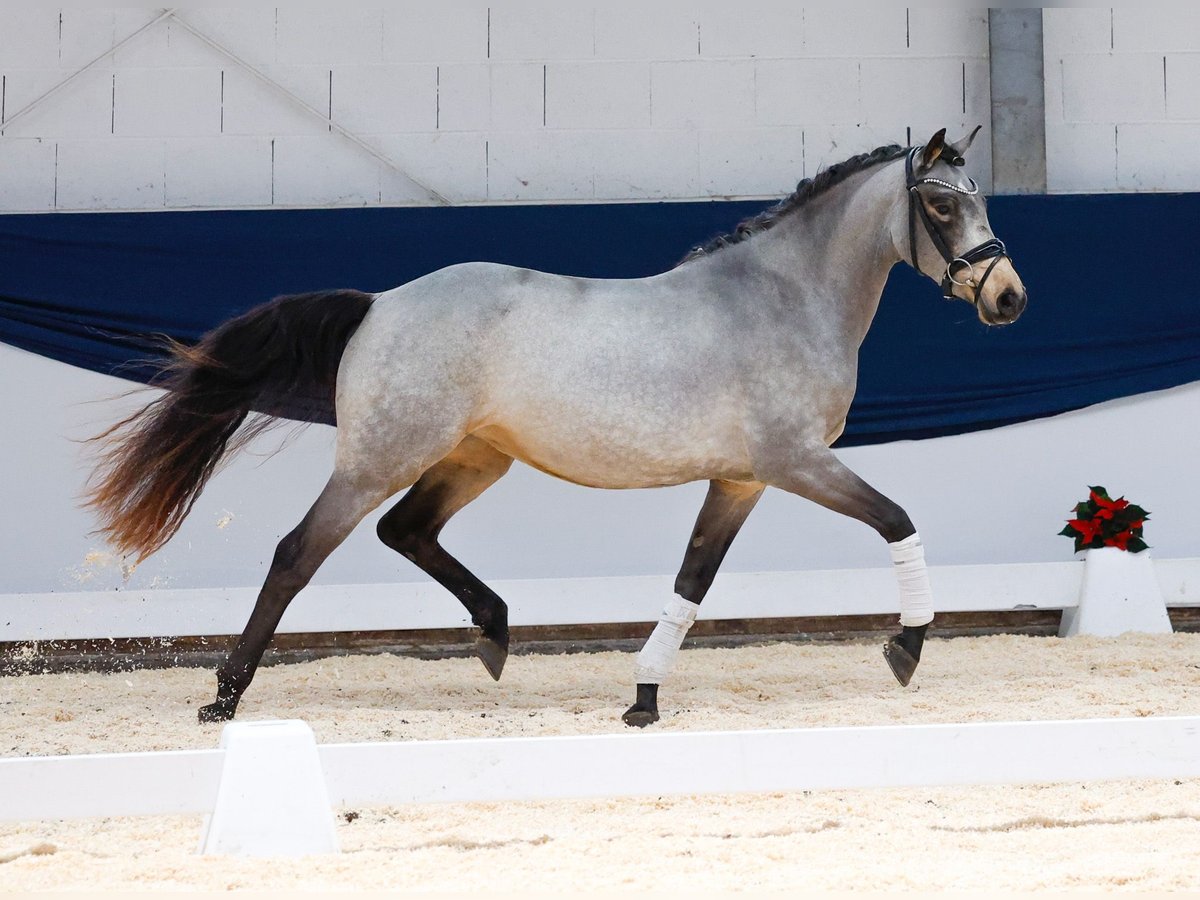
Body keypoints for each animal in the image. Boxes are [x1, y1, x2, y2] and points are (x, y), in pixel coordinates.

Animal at [87, 128, 1022, 724]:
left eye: (979, 202)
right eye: (941, 206)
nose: (1008, 297)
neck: (783, 298)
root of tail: (380, 304)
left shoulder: (741, 481)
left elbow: (692, 582)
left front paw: (643, 698)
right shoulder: (797, 464)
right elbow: (898, 521)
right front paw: (906, 649)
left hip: (475, 460)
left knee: (406, 531)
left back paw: (496, 634)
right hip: (379, 460)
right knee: (296, 554)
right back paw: (223, 696)